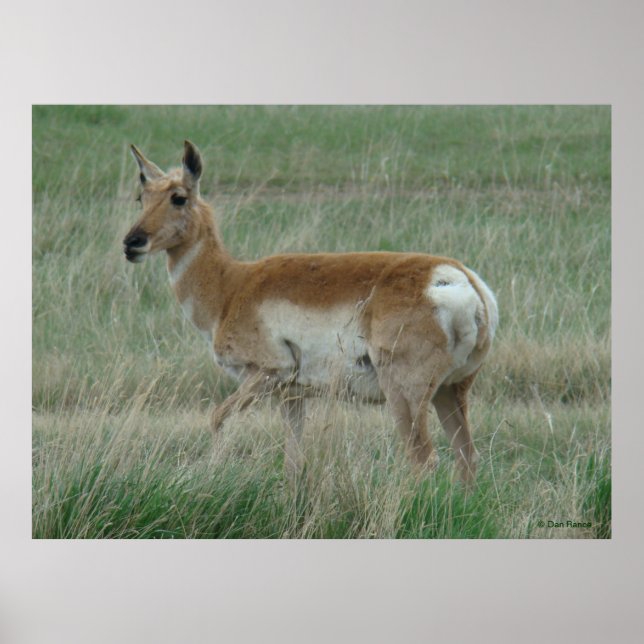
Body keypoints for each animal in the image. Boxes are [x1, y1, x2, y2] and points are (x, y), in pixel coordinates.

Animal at [123, 141, 498, 483]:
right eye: (142, 197)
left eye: (179, 197)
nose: (132, 243)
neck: (232, 285)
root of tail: (461, 280)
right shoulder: (291, 396)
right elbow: (293, 463)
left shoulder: (267, 374)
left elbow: (217, 417)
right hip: (451, 391)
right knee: (467, 457)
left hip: (405, 393)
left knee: (423, 457)